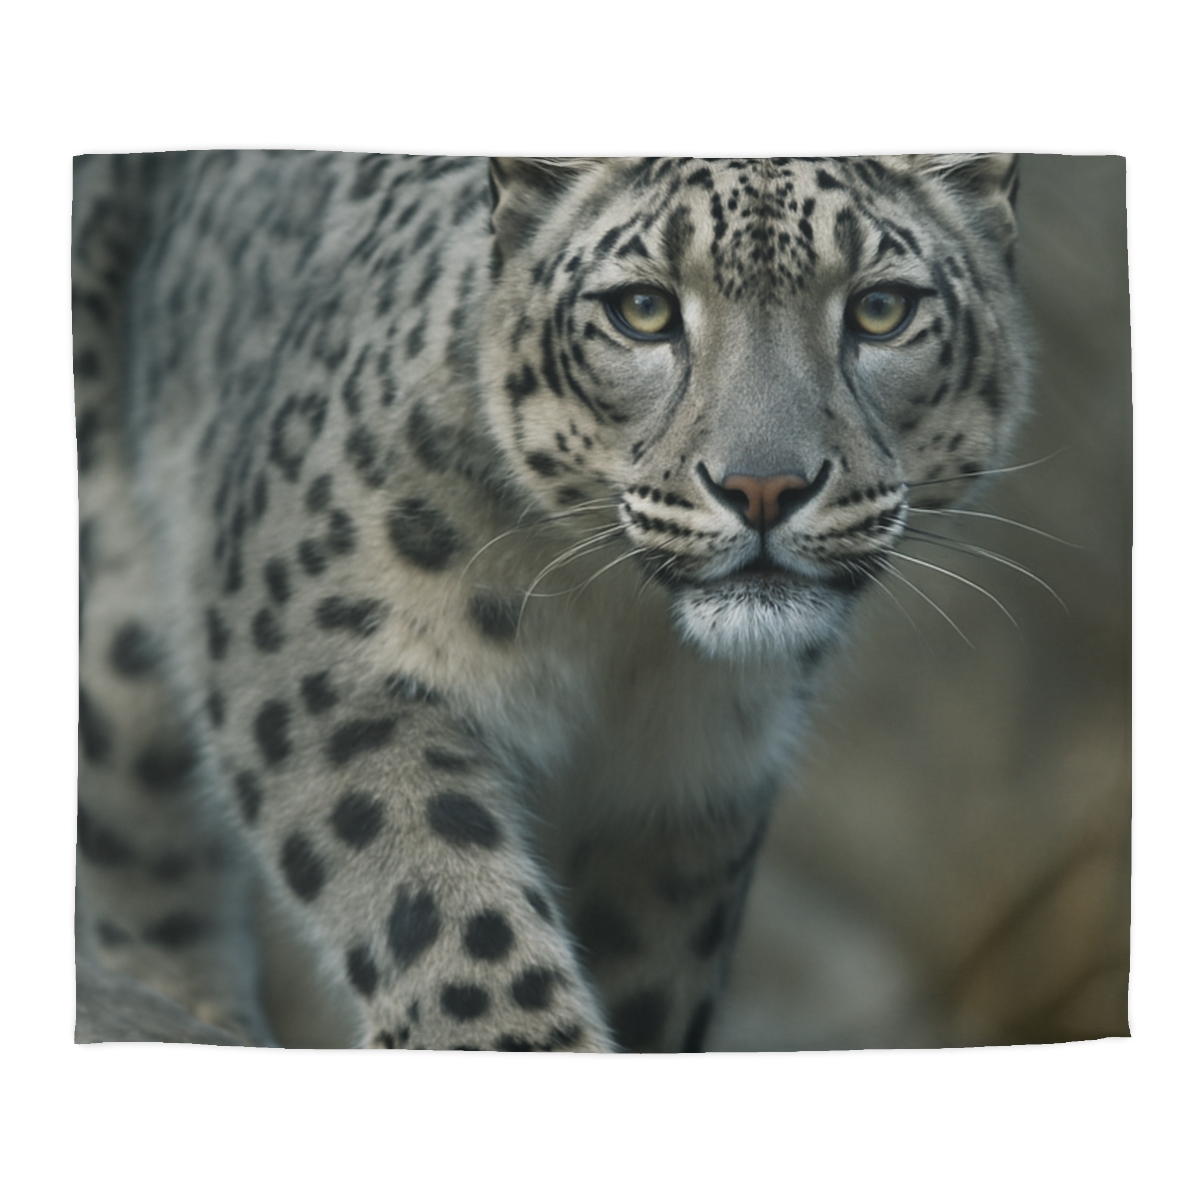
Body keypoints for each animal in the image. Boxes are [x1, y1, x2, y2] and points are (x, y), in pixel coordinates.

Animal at [74, 153, 1030, 1051]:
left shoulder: (691, 789)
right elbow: (436, 887)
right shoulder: (328, 656)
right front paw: (505, 1035)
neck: (622, 640)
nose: (764, 487)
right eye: (642, 309)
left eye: (881, 309)